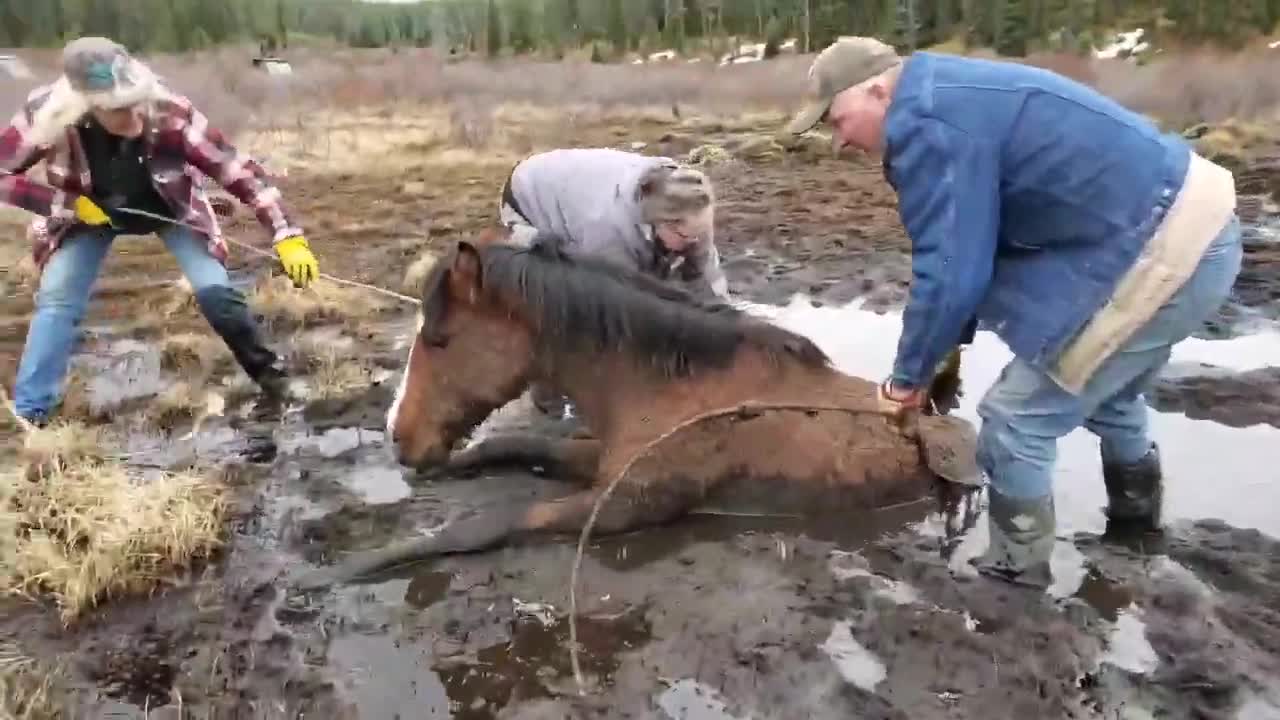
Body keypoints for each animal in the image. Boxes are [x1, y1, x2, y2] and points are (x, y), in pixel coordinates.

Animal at [296, 226, 977, 586]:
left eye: (440, 339)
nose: (402, 439)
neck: (670, 390)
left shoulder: (623, 505)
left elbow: (484, 525)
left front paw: (350, 568)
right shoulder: (597, 459)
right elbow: (514, 444)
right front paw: (453, 467)